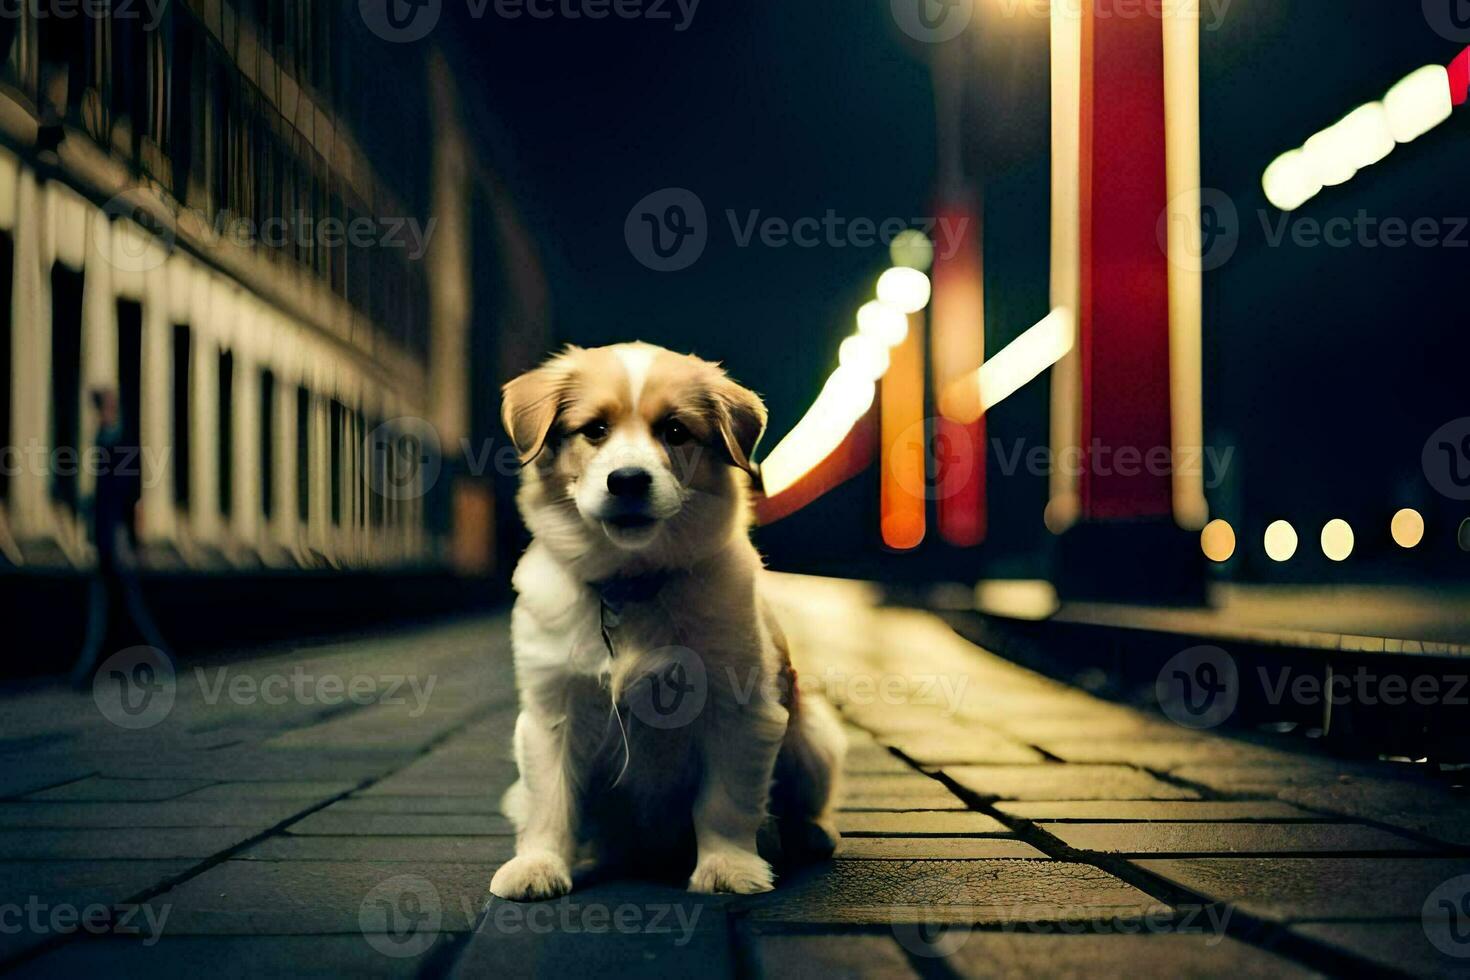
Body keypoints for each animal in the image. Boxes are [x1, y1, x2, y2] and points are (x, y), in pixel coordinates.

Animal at [490, 340, 846, 899]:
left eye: (675, 431)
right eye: (595, 429)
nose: (628, 481)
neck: (631, 583)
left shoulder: (739, 707)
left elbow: (725, 801)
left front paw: (728, 867)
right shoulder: (550, 712)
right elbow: (551, 800)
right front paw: (539, 864)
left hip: (815, 740)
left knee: (803, 799)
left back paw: (810, 833)